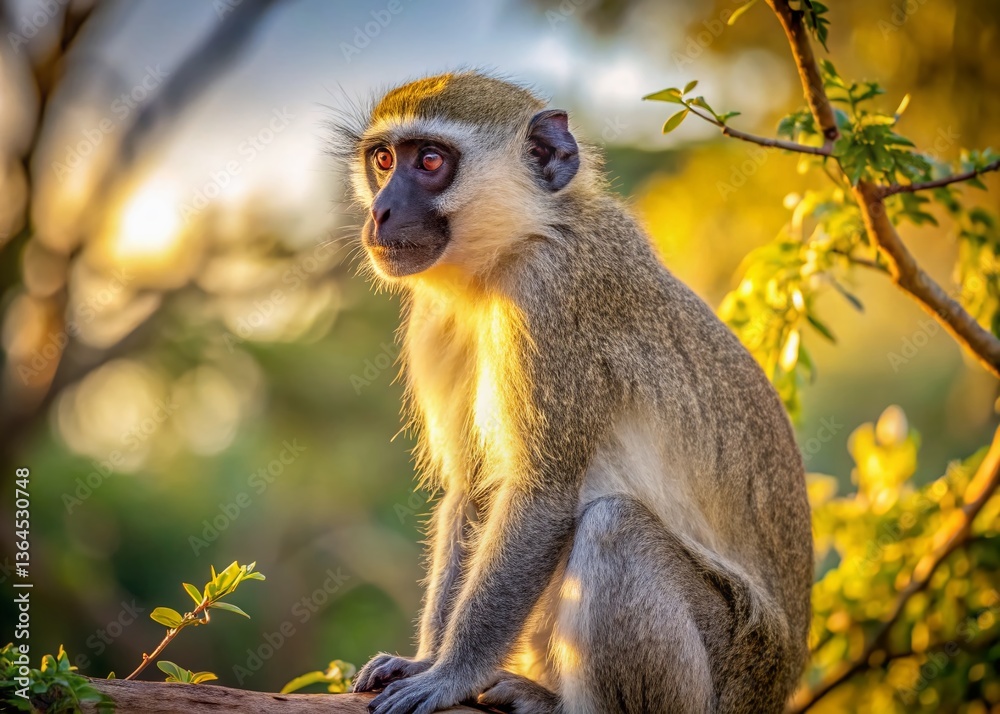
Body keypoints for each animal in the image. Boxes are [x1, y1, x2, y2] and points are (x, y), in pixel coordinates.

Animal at [338, 71, 813, 714]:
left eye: (431, 161)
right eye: (384, 160)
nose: (382, 211)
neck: (511, 252)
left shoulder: (551, 292)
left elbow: (543, 492)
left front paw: (450, 674)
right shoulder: (436, 318)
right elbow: (474, 492)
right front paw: (424, 660)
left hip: (730, 668)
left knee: (616, 529)